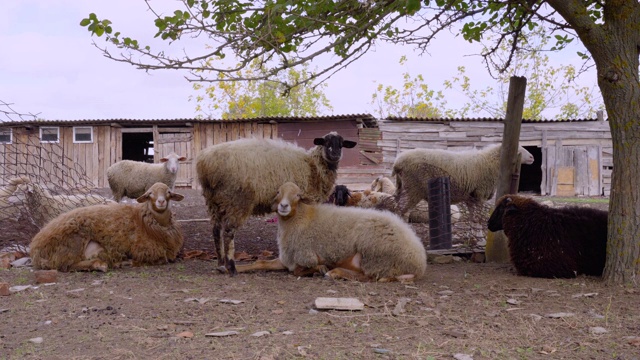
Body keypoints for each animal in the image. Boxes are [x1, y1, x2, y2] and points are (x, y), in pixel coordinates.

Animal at [30, 181, 185, 272]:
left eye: (168, 193)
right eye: (150, 194)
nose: (161, 202)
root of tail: (35, 247)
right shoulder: (144, 251)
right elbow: (161, 259)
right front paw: (129, 262)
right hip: (73, 241)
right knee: (66, 265)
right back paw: (100, 264)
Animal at [198, 132, 358, 276]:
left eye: (341, 144)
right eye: (326, 142)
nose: (335, 154)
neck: (314, 167)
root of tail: (206, 163)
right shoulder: (308, 201)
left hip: (214, 201)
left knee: (216, 230)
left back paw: (220, 264)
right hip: (236, 200)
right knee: (228, 233)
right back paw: (231, 268)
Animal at [234, 183, 424, 282]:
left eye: (298, 195)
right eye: (279, 192)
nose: (284, 206)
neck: (299, 218)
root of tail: (419, 260)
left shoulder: (306, 255)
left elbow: (298, 271)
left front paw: (320, 268)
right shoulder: (287, 259)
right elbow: (260, 263)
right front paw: (236, 268)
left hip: (374, 255)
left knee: (368, 277)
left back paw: (335, 272)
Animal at [390, 144, 536, 217]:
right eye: (517, 149)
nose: (532, 157)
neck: (490, 162)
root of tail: (397, 162)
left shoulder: (471, 197)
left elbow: (472, 218)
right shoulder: (480, 194)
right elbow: (477, 218)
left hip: (402, 187)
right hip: (414, 189)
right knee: (401, 210)